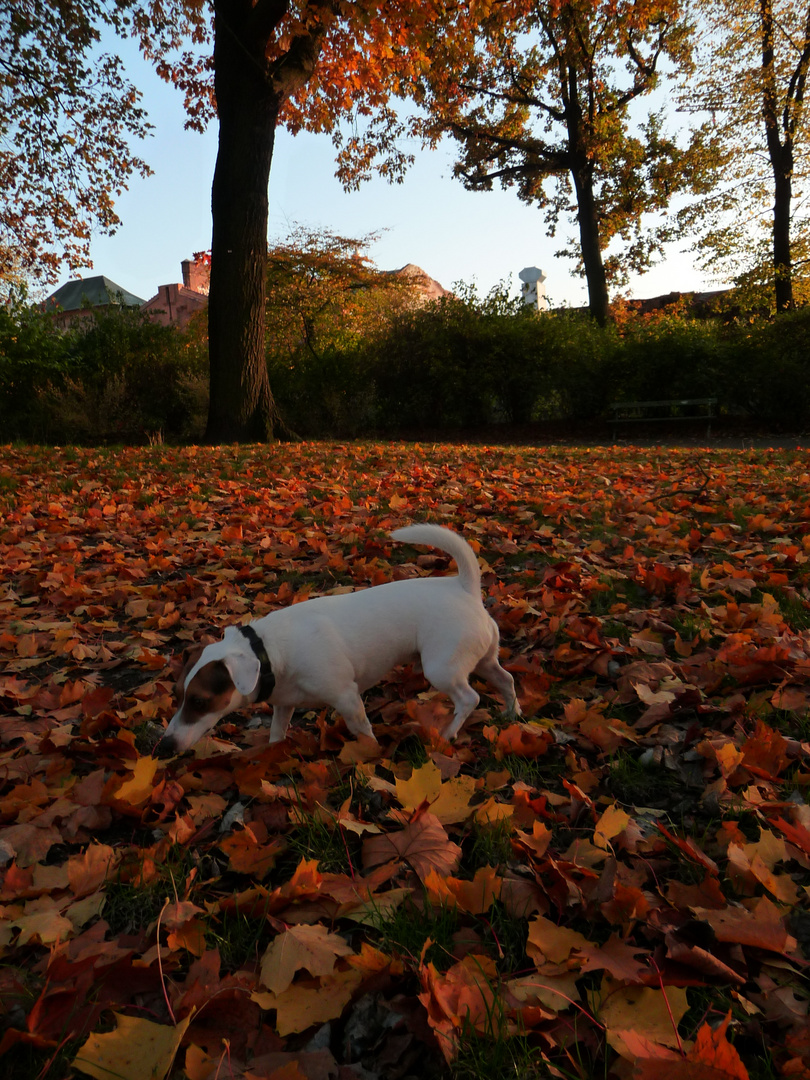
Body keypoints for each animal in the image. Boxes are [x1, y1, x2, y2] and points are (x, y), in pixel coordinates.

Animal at [159, 522, 520, 751]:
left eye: (200, 701)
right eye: (176, 695)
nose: (164, 747)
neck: (268, 652)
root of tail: (465, 587)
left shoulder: (347, 698)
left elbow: (363, 731)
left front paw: (371, 755)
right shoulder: (284, 703)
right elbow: (277, 731)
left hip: (441, 668)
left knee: (469, 699)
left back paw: (448, 733)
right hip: (481, 659)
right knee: (505, 679)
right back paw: (513, 714)